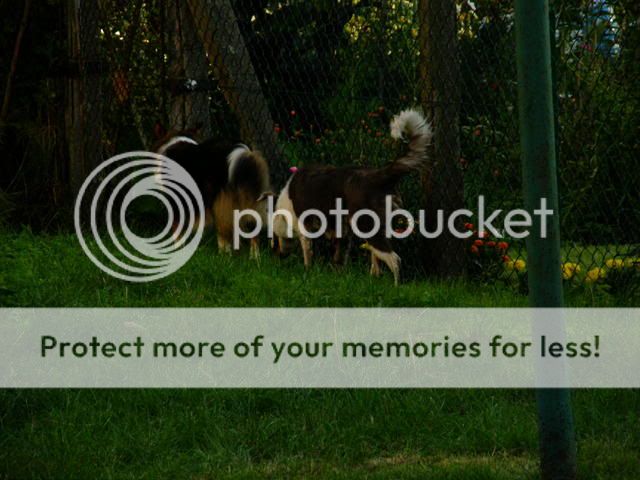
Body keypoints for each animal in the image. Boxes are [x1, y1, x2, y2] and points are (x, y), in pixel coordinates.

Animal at [153, 124, 271, 258]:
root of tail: (243, 151)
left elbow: (177, 230)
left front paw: (177, 252)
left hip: (221, 199)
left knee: (225, 228)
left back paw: (227, 256)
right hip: (249, 196)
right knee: (251, 227)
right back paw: (254, 258)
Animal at [269, 109, 431, 285]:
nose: (277, 259)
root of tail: (378, 175)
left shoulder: (305, 230)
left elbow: (308, 256)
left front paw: (308, 273)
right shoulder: (342, 233)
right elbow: (339, 259)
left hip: (366, 226)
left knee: (395, 260)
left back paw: (396, 286)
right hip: (377, 228)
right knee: (377, 263)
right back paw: (373, 281)